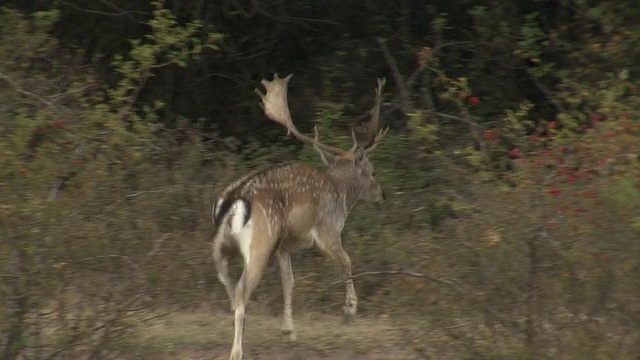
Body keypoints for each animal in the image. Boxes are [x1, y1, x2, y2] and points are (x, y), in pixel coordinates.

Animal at [212, 74, 388, 360]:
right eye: (373, 172)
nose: (382, 194)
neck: (341, 194)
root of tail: (236, 196)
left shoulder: (284, 246)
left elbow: (289, 281)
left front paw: (289, 331)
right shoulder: (328, 230)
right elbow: (346, 261)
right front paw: (349, 311)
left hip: (222, 242)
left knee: (223, 275)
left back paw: (235, 315)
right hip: (261, 241)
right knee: (240, 287)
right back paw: (237, 350)